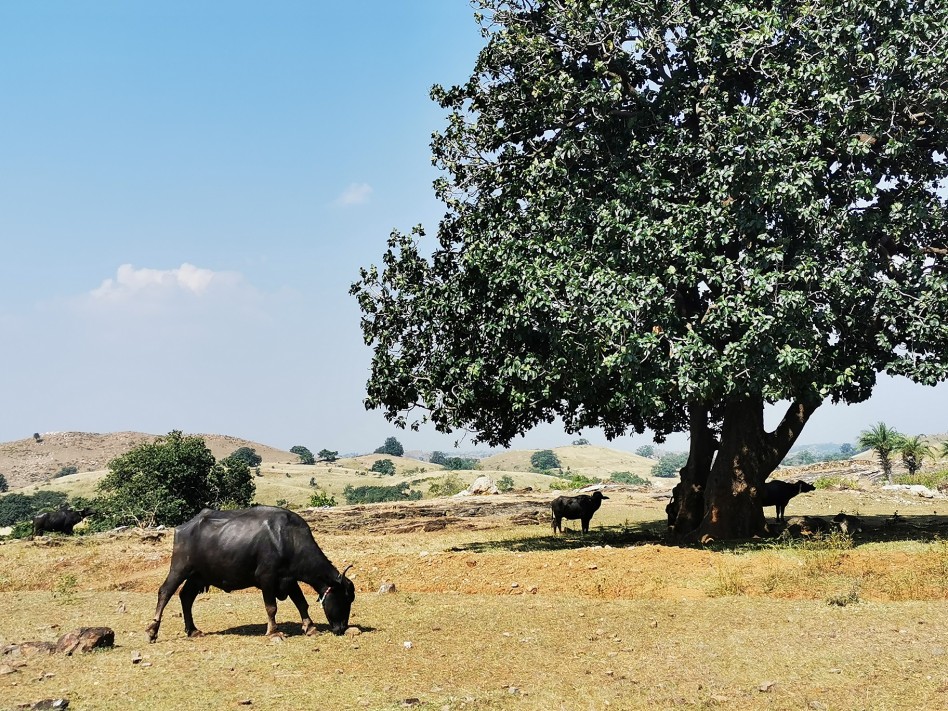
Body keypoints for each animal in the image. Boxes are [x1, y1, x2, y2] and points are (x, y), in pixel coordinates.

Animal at [146, 506, 355, 642]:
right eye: (344, 599)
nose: (342, 627)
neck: (288, 539)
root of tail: (182, 528)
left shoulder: (289, 579)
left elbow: (301, 603)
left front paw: (310, 627)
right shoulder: (267, 578)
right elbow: (271, 607)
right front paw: (274, 632)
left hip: (198, 576)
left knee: (186, 597)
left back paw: (193, 630)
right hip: (180, 568)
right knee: (165, 592)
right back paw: (153, 631)